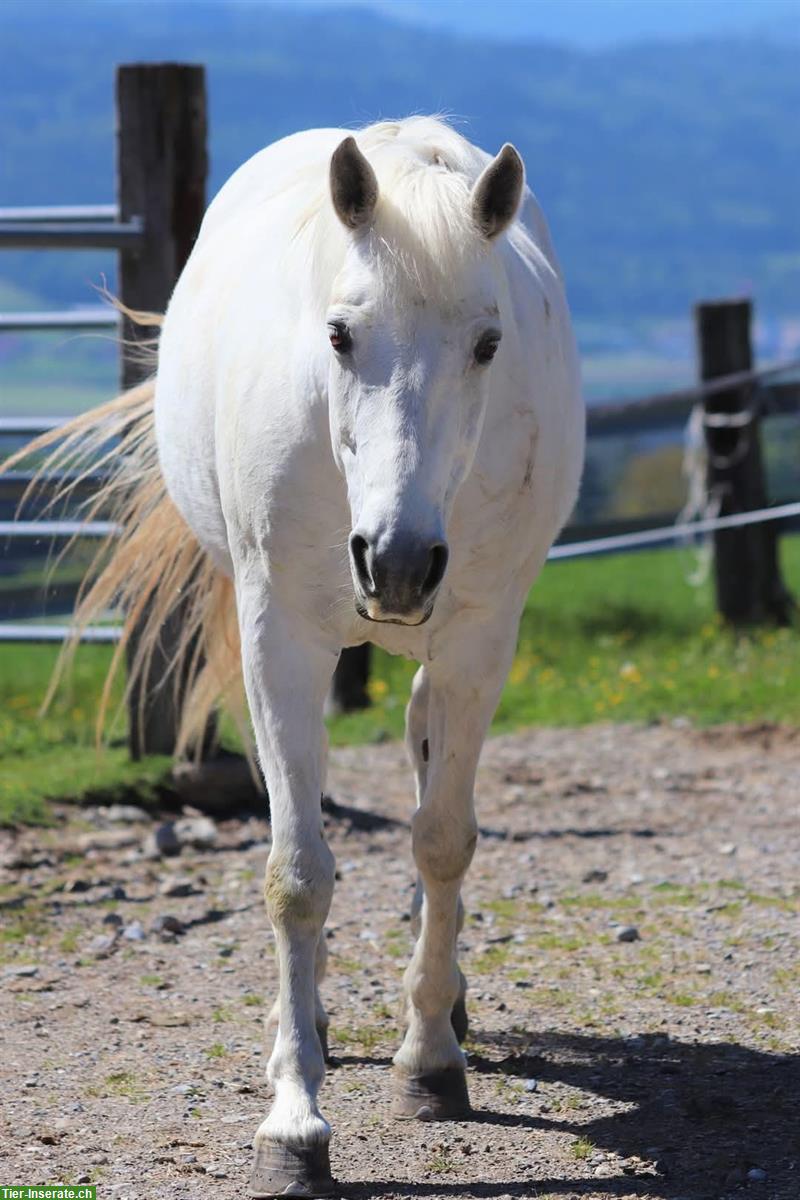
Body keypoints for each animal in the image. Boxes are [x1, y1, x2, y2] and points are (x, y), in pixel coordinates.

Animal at [17, 117, 587, 1195]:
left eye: (488, 343)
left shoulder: (480, 636)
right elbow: (296, 874)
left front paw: (428, 1062)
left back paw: (439, 999)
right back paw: (314, 1019)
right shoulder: (280, 636)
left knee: (421, 754)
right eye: (338, 335)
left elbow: (442, 839)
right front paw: (294, 1121)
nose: (397, 561)